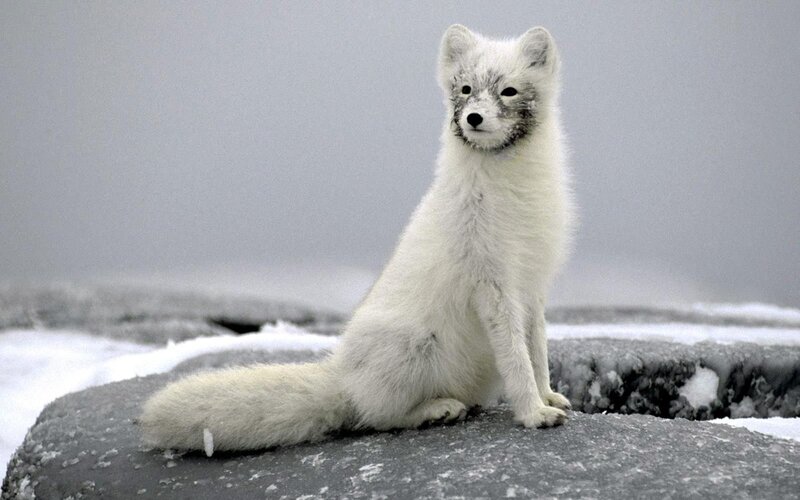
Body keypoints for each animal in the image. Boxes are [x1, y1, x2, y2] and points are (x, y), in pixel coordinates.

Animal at [139, 24, 575, 452]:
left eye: (509, 91)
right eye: (466, 89)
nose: (473, 117)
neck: (513, 191)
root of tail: (342, 376)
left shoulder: (532, 285)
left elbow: (537, 351)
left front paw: (548, 396)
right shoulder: (492, 285)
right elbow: (517, 359)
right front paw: (533, 413)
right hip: (413, 346)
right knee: (376, 416)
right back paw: (436, 409)